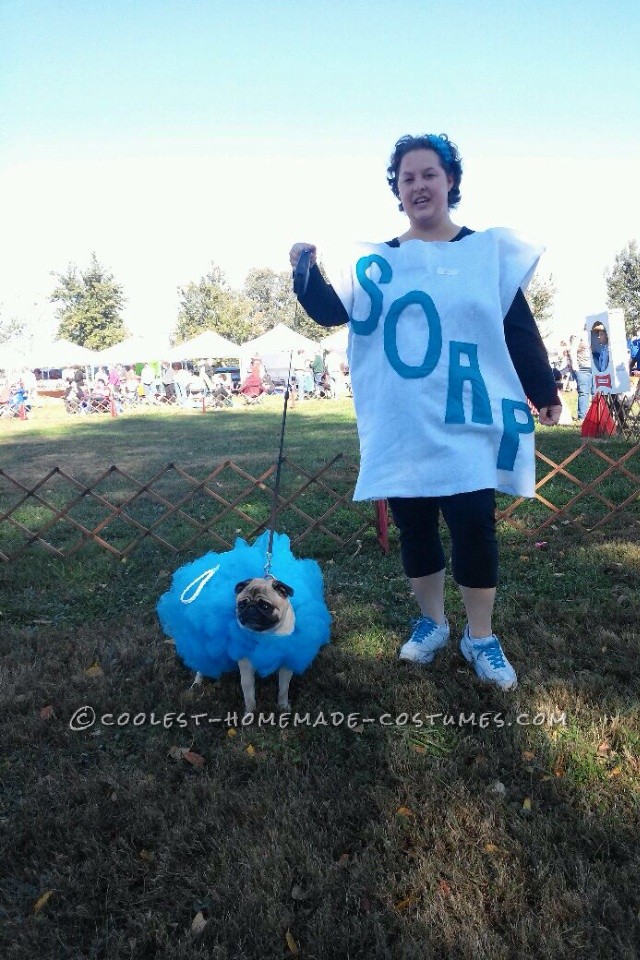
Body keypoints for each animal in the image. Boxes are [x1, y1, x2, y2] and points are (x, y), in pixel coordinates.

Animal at [235, 576, 296, 712]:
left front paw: (283, 706)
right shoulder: (246, 668)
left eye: (265, 606)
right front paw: (250, 712)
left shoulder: (286, 666)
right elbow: (248, 693)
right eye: (241, 605)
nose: (250, 608)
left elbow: (283, 689)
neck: (266, 635)